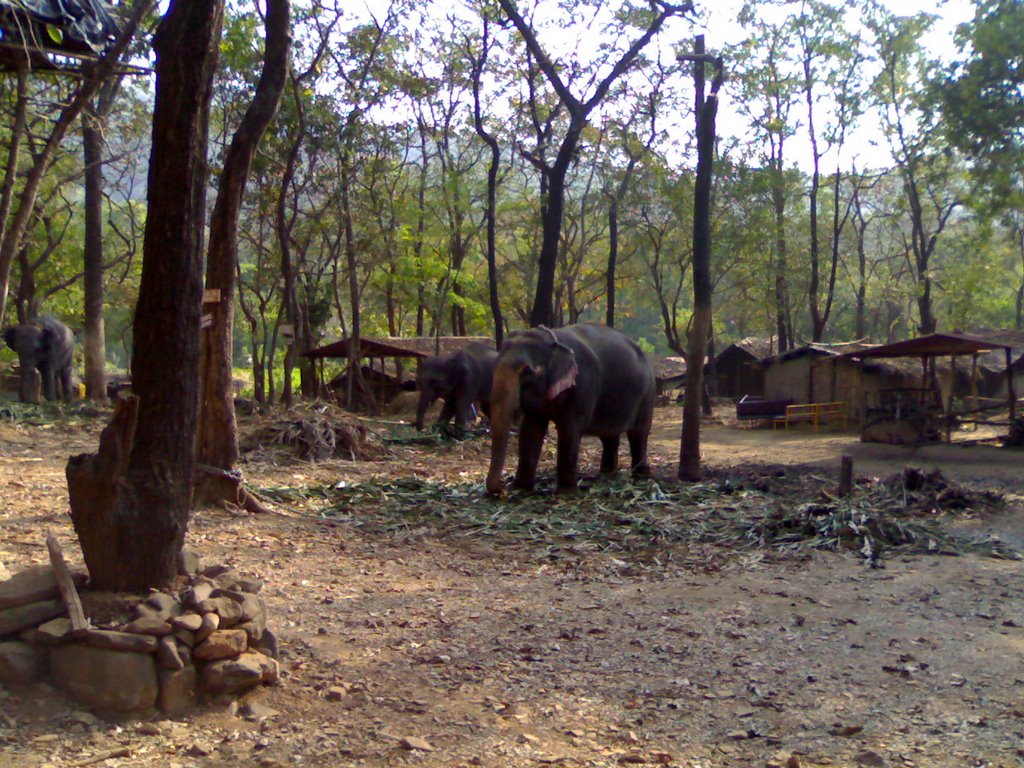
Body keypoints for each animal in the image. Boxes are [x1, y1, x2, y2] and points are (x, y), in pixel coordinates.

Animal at [485, 321, 655, 495]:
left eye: (528, 371)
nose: (502, 488)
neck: (552, 338)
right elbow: (530, 429)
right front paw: (521, 488)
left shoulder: (583, 383)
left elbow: (569, 429)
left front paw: (566, 493)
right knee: (609, 435)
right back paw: (607, 474)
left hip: (648, 392)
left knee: (638, 432)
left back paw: (641, 476)